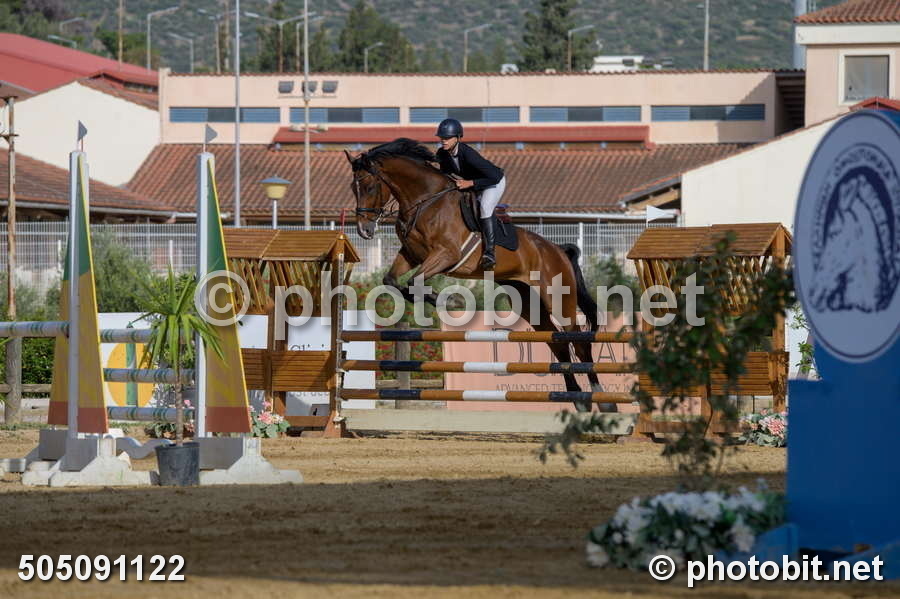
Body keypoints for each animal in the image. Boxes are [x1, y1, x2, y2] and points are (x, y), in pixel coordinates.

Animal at [345, 138, 608, 412]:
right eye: (353, 188)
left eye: (369, 186)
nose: (364, 231)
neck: (425, 201)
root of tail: (557, 250)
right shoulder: (411, 255)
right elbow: (393, 281)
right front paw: (443, 300)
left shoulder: (446, 254)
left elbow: (415, 282)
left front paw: (451, 300)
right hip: (528, 302)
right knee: (558, 342)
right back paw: (577, 398)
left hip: (557, 297)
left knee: (578, 340)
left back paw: (600, 397)